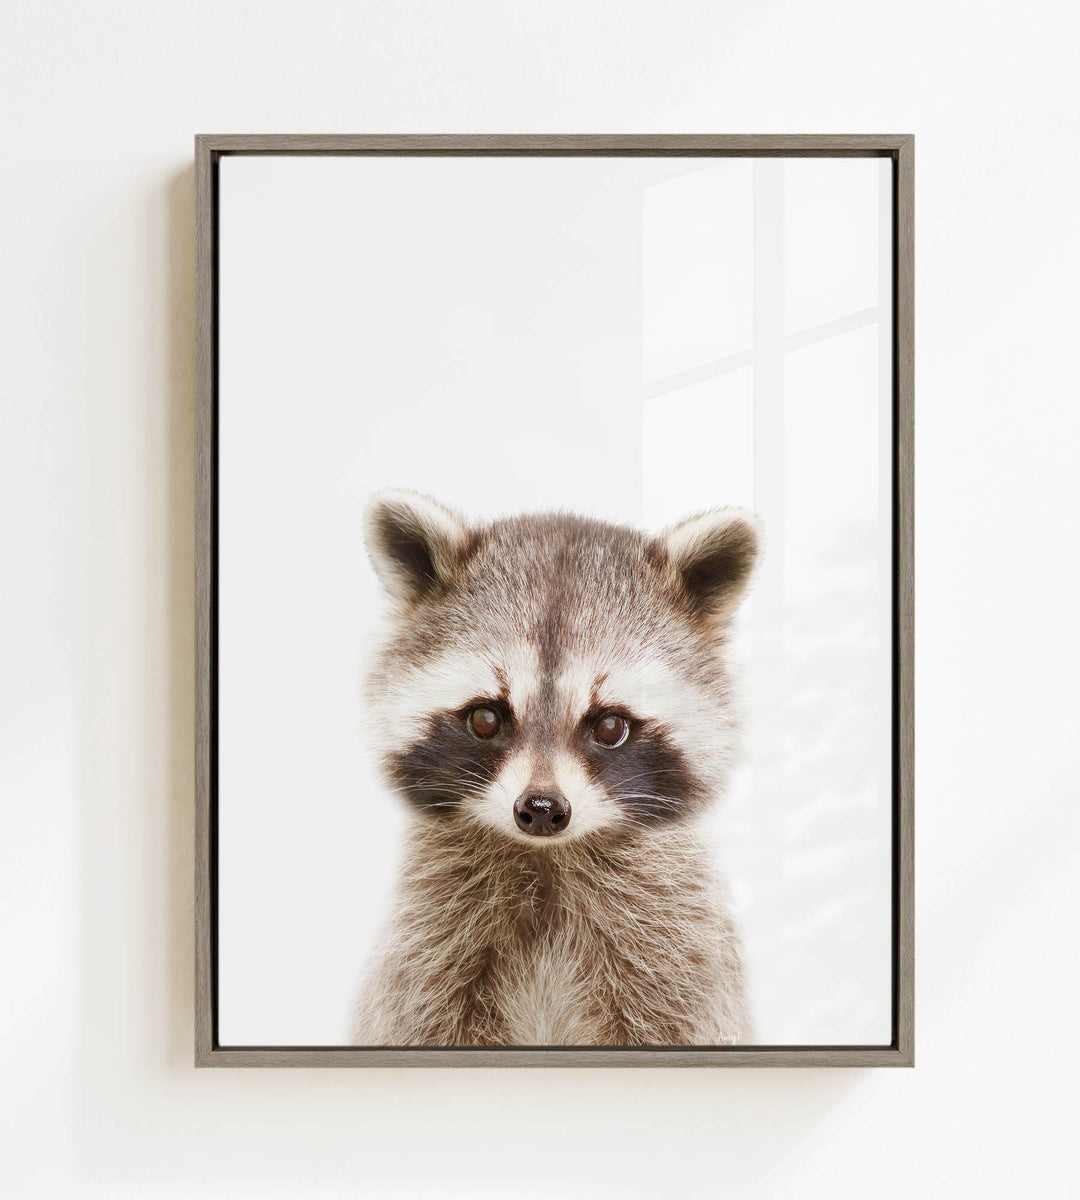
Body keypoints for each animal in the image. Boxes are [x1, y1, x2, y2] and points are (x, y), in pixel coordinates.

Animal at [353, 489, 759, 1047]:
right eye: (485, 718)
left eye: (609, 726)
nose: (542, 809)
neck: (546, 860)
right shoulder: (427, 949)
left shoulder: (676, 954)